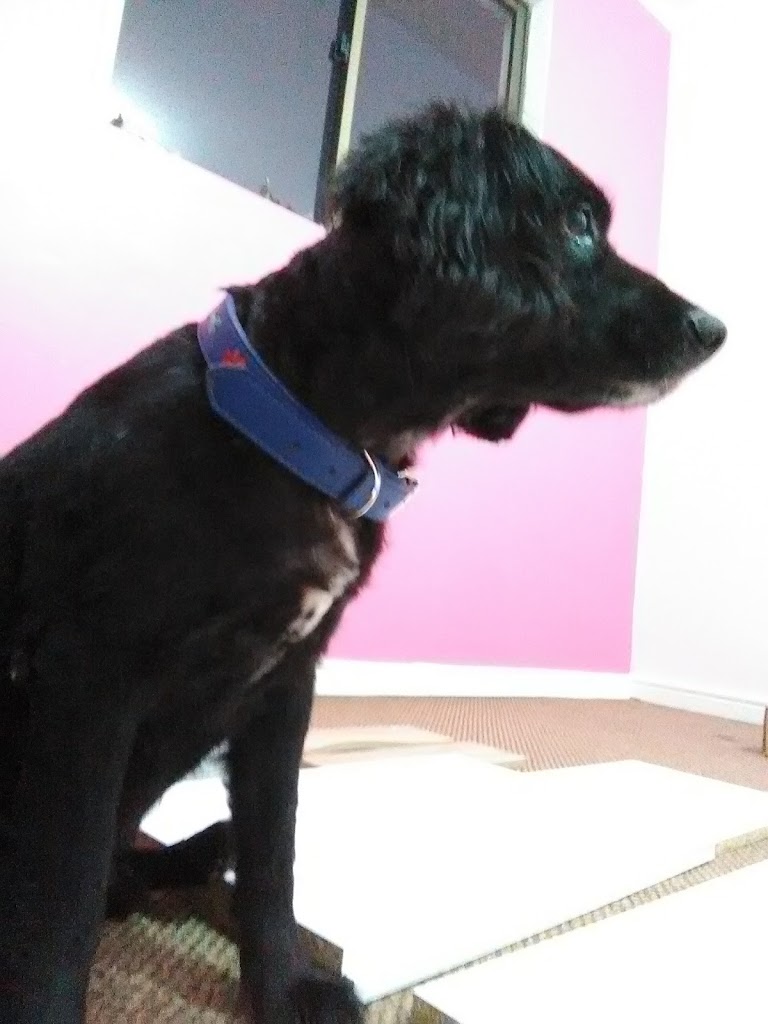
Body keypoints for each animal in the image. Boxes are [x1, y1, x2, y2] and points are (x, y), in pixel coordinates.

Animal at [0, 103, 725, 1024]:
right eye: (578, 226)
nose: (716, 330)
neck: (304, 430)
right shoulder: (90, 677)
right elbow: (59, 908)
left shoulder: (284, 686)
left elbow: (274, 854)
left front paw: (284, 989)